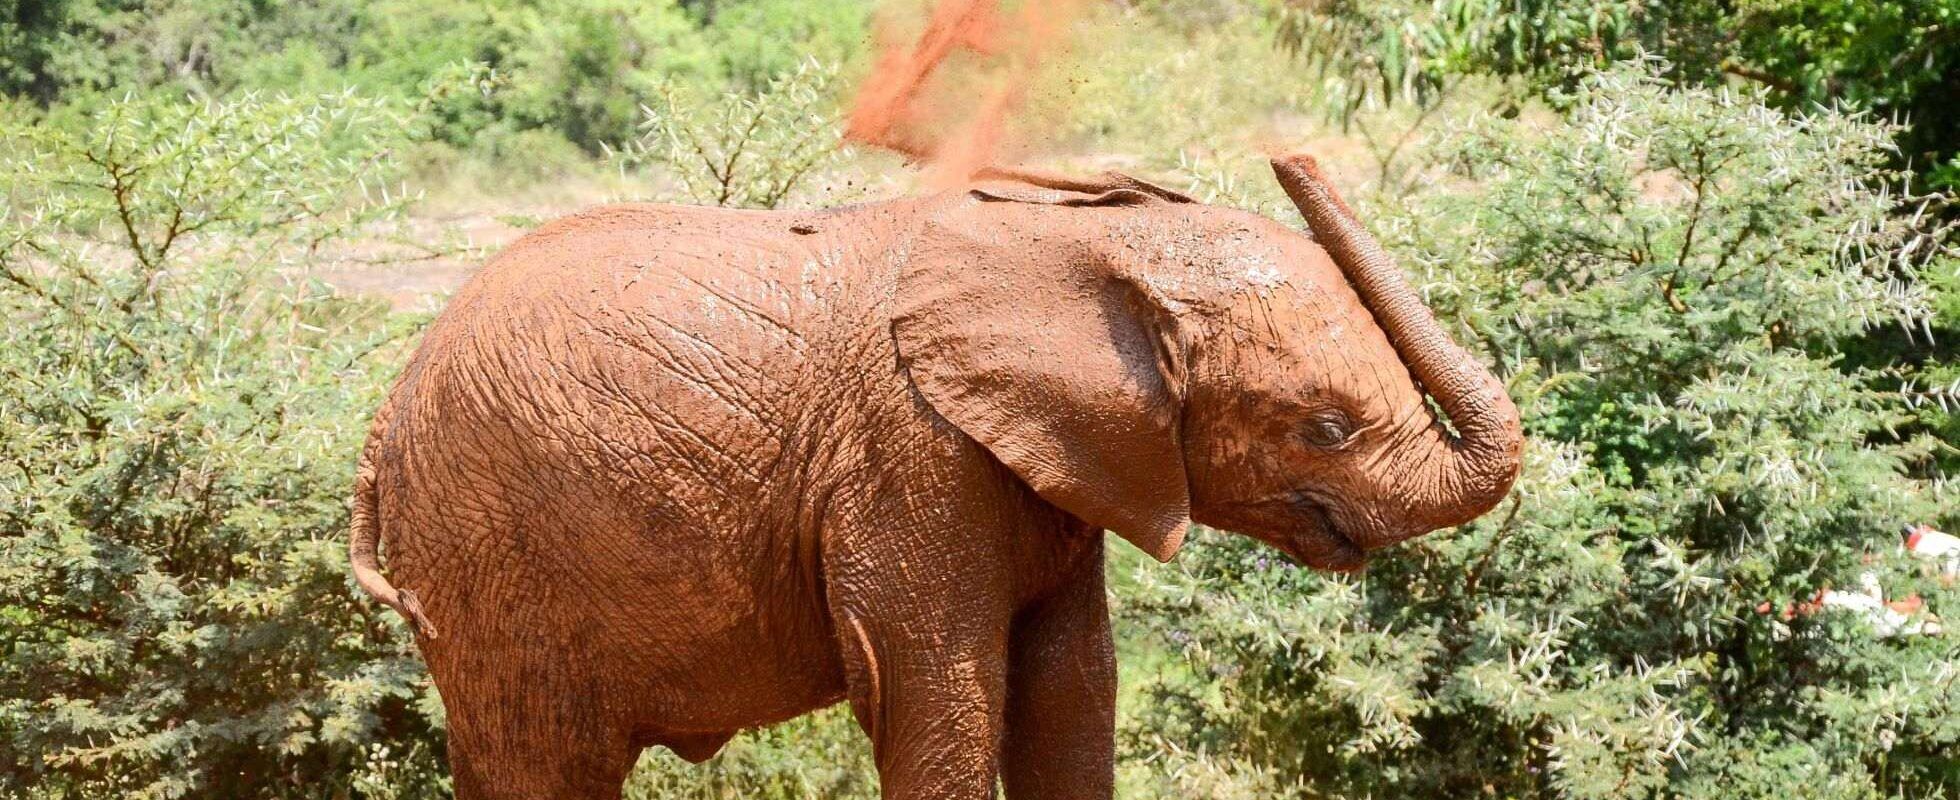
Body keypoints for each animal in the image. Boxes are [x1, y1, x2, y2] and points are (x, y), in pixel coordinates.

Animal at [348, 153, 1522, 799]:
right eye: (1325, 426)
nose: (1290, 151)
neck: (1084, 247)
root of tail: (383, 416)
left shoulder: (1055, 463)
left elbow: (1071, 689)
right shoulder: (909, 455)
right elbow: (938, 690)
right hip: (491, 556)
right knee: (539, 766)